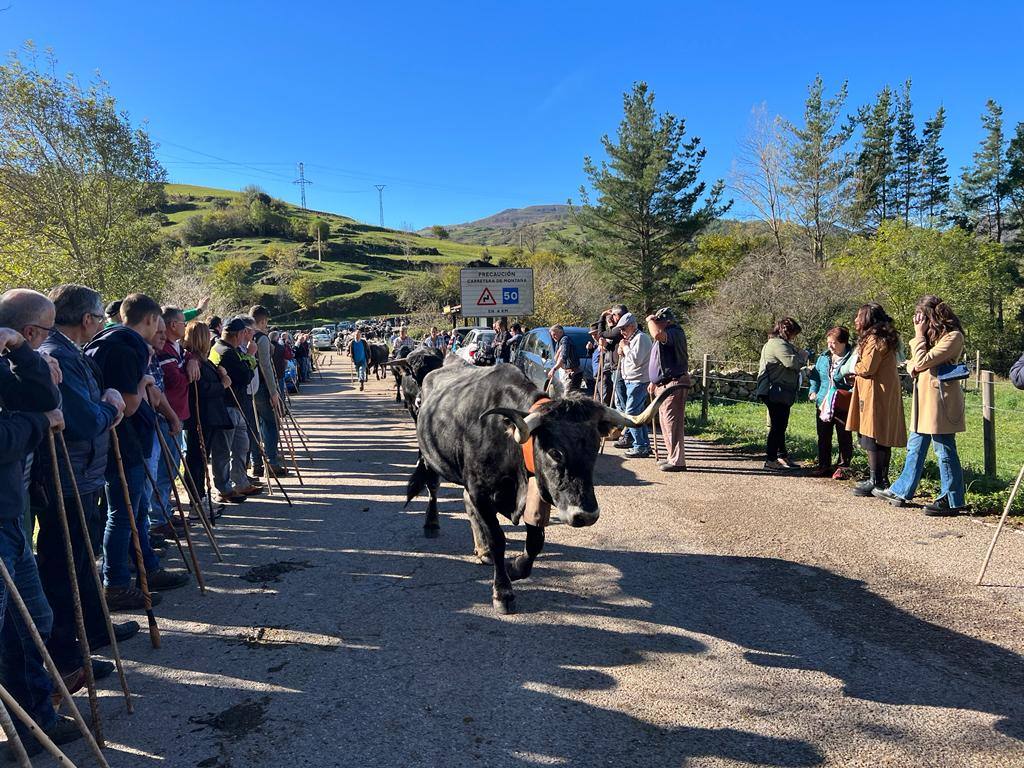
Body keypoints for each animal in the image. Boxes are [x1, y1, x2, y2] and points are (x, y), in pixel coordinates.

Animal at [407, 358, 679, 618]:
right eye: (555, 452)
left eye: (594, 448)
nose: (586, 515)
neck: (505, 438)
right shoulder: (480, 490)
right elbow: (498, 539)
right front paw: (503, 592)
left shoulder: (536, 491)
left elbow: (536, 541)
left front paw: (515, 567)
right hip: (429, 458)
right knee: (433, 488)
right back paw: (432, 524)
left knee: (465, 503)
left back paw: (481, 550)